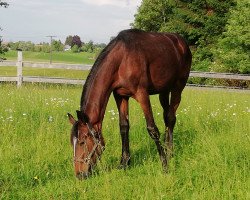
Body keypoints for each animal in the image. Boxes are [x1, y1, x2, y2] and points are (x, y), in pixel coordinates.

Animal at [67, 28, 190, 180]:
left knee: (171, 118)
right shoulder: (120, 96)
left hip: (178, 87)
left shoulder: (142, 94)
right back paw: (168, 149)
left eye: (82, 142)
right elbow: (124, 127)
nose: (79, 174)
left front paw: (164, 166)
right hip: (164, 91)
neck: (122, 59)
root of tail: (181, 42)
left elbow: (152, 129)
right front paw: (124, 163)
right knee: (167, 117)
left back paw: (170, 154)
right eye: (71, 142)